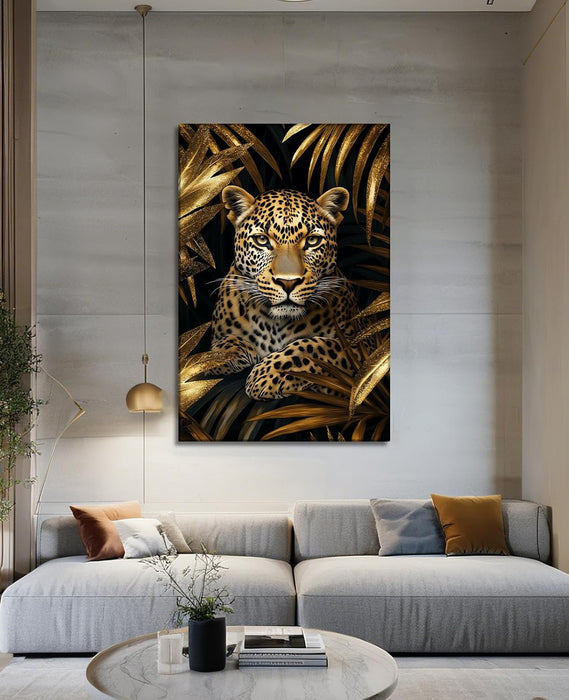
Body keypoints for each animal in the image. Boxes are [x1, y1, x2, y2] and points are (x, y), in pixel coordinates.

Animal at [209, 185, 361, 401]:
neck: (274, 325)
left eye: (312, 240)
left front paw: (267, 374)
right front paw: (222, 356)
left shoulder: (362, 345)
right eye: (262, 240)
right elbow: (223, 343)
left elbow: (314, 346)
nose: (288, 282)